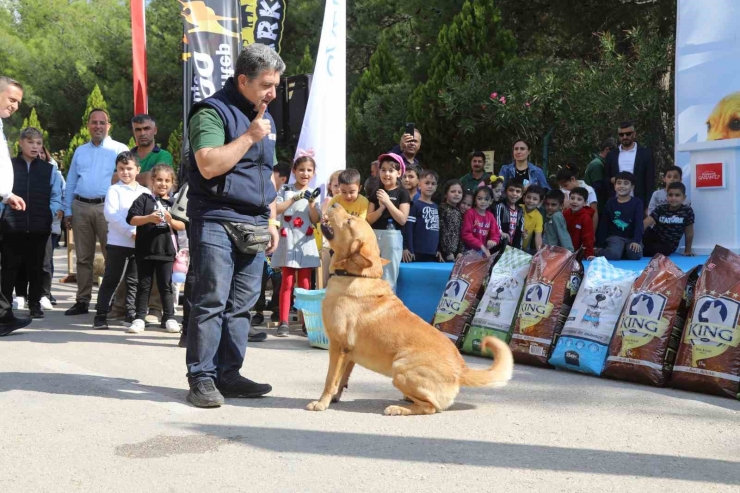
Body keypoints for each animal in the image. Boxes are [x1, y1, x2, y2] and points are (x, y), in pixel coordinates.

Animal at [308, 204, 516, 416]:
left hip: (400, 367)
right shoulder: (350, 354)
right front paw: (334, 398)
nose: (335, 204)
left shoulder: (338, 347)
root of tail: (461, 369)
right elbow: (342, 379)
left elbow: (330, 379)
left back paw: (398, 408)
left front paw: (322, 403)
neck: (357, 275)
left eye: (349, 220)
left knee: (430, 407)